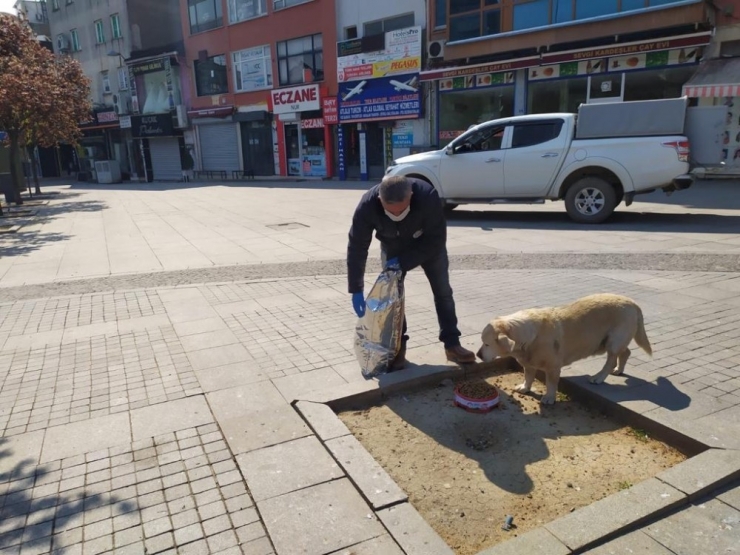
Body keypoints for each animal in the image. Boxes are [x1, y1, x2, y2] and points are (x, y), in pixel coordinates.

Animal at [476, 296, 652, 404]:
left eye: (486, 344)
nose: (477, 354)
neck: (529, 337)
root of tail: (633, 303)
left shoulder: (553, 367)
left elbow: (551, 383)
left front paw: (549, 397)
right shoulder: (529, 362)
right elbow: (528, 375)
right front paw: (525, 387)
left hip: (613, 341)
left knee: (611, 360)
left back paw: (599, 377)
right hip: (614, 340)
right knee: (626, 352)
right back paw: (619, 369)